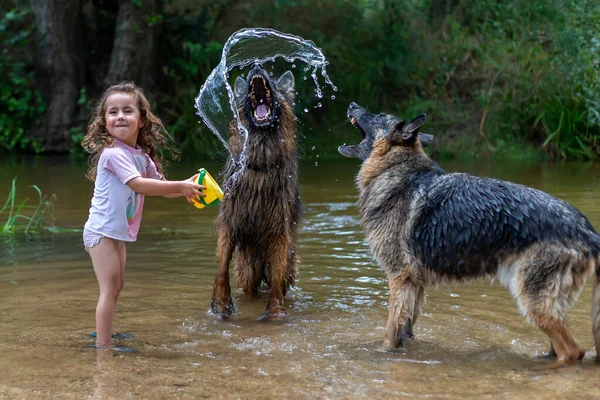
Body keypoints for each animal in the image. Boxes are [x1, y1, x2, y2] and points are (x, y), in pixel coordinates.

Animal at [210, 66, 300, 318]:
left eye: (274, 83)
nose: (257, 67)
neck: (260, 161)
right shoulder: (229, 222)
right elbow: (222, 267)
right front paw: (221, 303)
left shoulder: (279, 232)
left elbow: (277, 281)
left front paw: (275, 313)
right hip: (248, 269)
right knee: (250, 290)